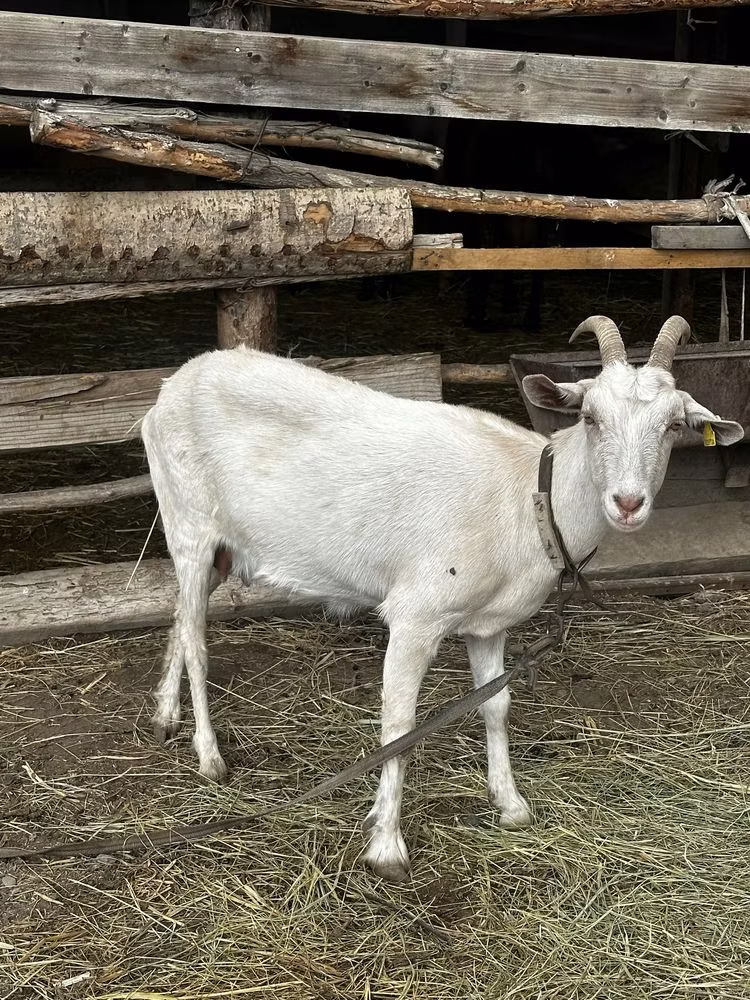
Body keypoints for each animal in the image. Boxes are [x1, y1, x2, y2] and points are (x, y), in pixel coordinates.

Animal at [141, 316, 743, 882]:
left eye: (673, 425)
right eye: (591, 417)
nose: (628, 503)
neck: (528, 497)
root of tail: (173, 385)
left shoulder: (489, 626)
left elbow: (496, 706)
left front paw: (511, 805)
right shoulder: (415, 617)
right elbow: (399, 728)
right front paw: (386, 847)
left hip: (216, 548)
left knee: (179, 616)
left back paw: (165, 714)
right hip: (190, 524)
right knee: (197, 641)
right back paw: (209, 756)